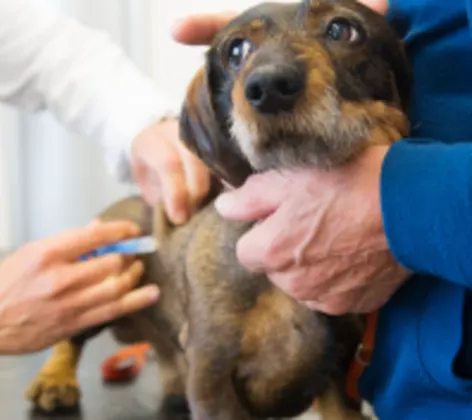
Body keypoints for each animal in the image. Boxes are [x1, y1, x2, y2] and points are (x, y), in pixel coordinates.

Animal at [24, 1, 410, 418]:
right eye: (237, 51)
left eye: (342, 29)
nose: (268, 88)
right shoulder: (211, 374)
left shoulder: (337, 375)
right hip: (105, 279)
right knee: (71, 337)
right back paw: (55, 379)